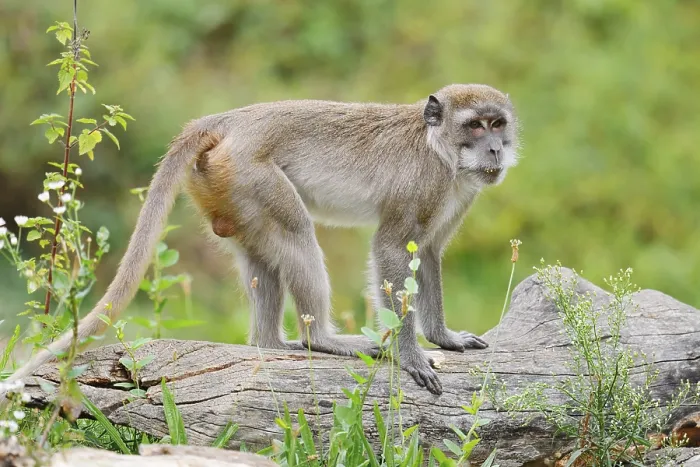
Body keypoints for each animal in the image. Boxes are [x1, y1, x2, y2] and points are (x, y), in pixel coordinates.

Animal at [4, 83, 519, 397]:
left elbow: (427, 253)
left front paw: (443, 337)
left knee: (263, 255)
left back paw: (271, 342)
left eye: (498, 124)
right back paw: (321, 339)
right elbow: (393, 248)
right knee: (296, 235)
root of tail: (228, 120)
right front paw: (409, 354)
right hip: (251, 175)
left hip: (224, 189)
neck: (440, 151)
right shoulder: (422, 182)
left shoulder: (458, 193)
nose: (496, 149)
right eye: (475, 125)